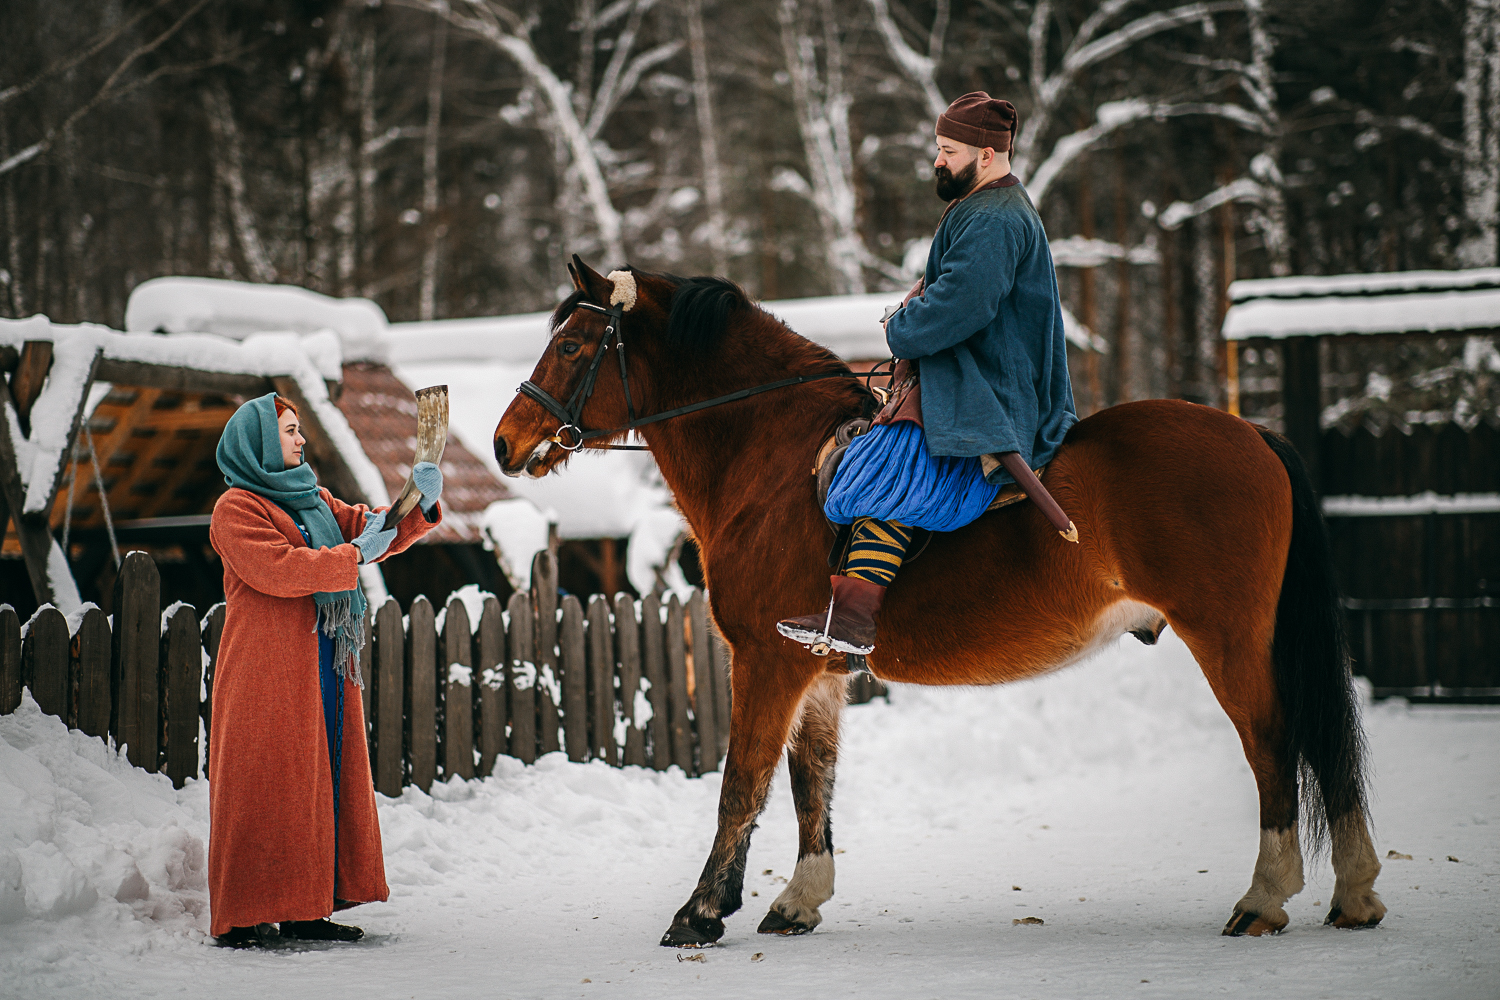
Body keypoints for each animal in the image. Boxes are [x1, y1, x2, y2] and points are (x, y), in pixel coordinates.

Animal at [498, 256, 1386, 947]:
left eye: (572, 345)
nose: (507, 442)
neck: (770, 460)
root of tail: (1252, 434)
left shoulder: (765, 662)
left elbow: (741, 784)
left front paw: (701, 911)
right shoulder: (816, 670)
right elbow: (811, 780)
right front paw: (797, 901)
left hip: (1228, 636)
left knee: (1274, 742)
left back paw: (1265, 898)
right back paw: (1354, 893)